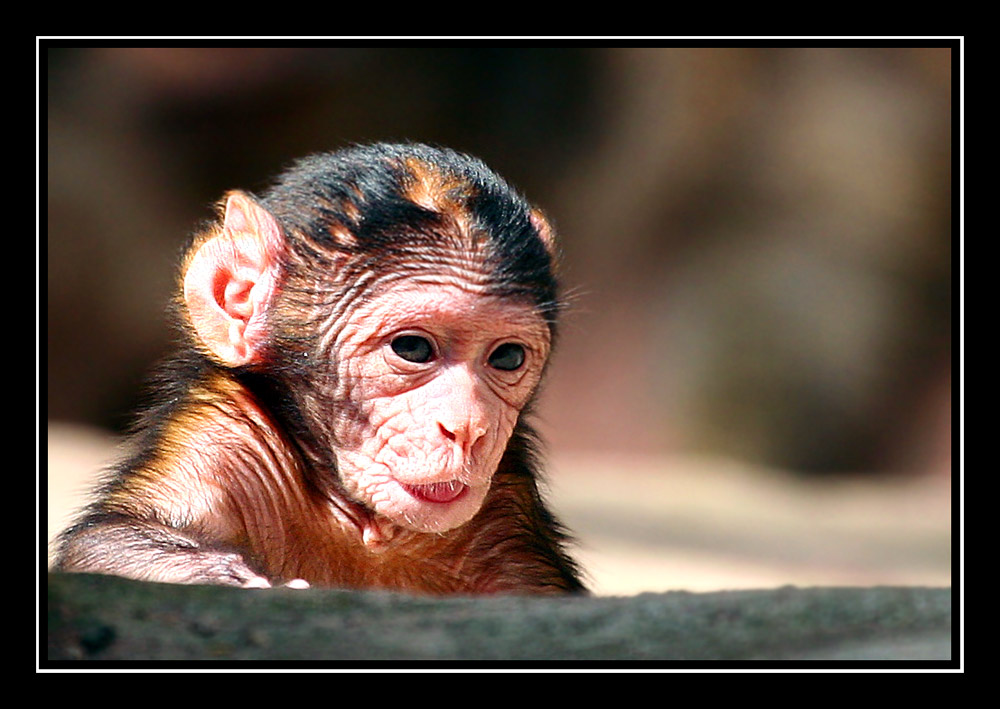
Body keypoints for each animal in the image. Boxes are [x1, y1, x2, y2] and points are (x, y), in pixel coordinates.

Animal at [54, 142, 584, 592]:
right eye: (412, 348)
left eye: (507, 357)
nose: (468, 427)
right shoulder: (221, 437)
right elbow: (106, 546)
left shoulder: (504, 510)